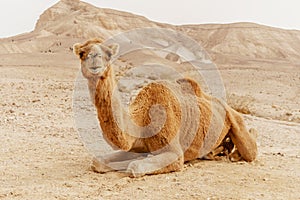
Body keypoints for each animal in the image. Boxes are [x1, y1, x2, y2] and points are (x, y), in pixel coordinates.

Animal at [73, 38, 258, 177]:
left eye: (108, 53)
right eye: (82, 53)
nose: (94, 58)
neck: (141, 120)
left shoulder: (174, 153)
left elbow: (135, 166)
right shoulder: (137, 146)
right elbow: (97, 161)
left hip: (236, 120)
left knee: (250, 150)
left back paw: (236, 150)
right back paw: (217, 152)